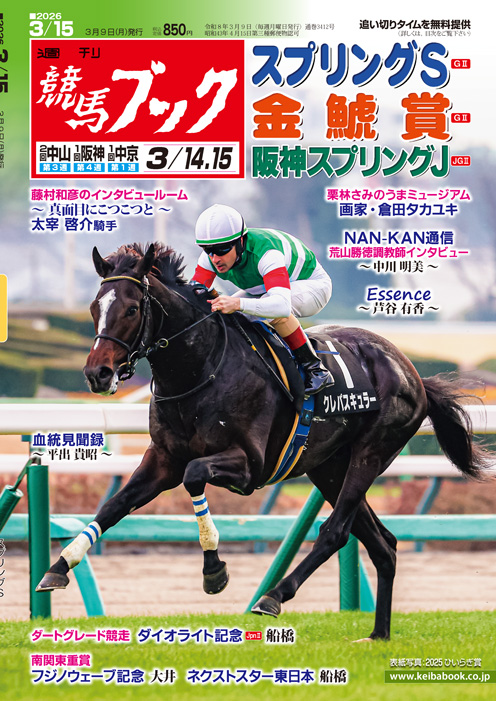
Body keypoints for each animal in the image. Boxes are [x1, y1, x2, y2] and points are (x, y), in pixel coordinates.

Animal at [37, 242, 490, 640]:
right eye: (94, 307)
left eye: (132, 308)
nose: (97, 374)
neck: (200, 369)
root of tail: (411, 371)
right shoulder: (163, 459)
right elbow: (114, 505)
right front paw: (59, 565)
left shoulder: (249, 465)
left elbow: (195, 476)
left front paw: (214, 571)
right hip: (328, 467)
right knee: (384, 544)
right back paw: (378, 635)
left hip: (371, 453)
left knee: (336, 531)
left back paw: (273, 596)